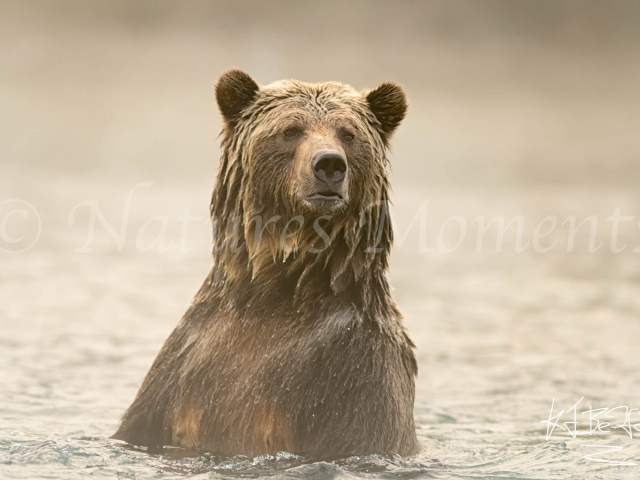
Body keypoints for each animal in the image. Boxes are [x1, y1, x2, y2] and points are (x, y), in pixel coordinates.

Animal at [112, 69, 419, 459]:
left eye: (348, 134)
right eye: (291, 130)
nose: (330, 164)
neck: (273, 293)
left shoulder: (355, 368)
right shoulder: (183, 360)